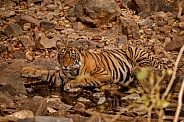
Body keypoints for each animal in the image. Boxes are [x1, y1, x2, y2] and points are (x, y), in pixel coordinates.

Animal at [21, 40, 162, 90]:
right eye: (62, 55)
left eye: (72, 56)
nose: (65, 66)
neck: (72, 71)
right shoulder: (60, 77)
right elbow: (44, 72)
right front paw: (27, 70)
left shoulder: (104, 74)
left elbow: (84, 78)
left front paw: (70, 84)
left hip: (132, 49)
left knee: (149, 67)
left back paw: (134, 70)